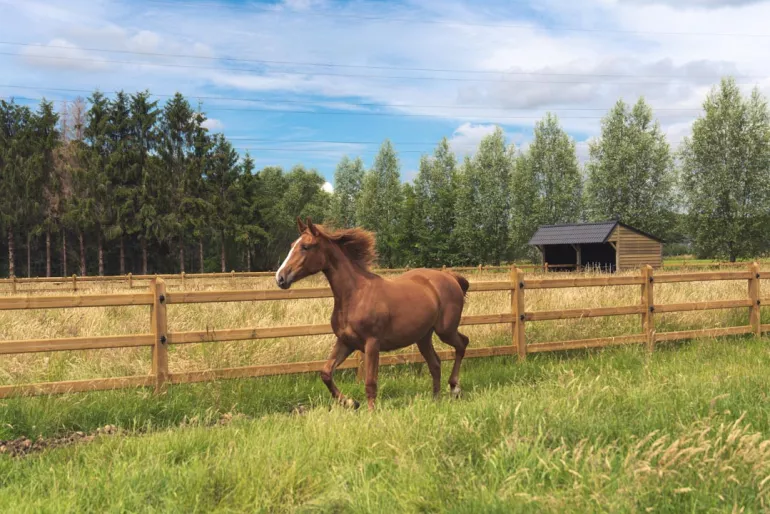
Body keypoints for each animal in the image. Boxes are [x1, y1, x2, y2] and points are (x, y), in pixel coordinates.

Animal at [275, 216, 471, 410]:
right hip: (423, 337)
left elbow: (370, 382)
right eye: (293, 244)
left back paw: (455, 388)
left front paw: (370, 411)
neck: (355, 295)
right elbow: (326, 373)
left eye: (306, 246)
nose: (280, 278)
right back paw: (435, 400)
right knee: (435, 364)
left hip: (445, 331)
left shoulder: (372, 343)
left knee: (462, 344)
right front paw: (351, 402)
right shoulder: (345, 342)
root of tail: (450, 277)